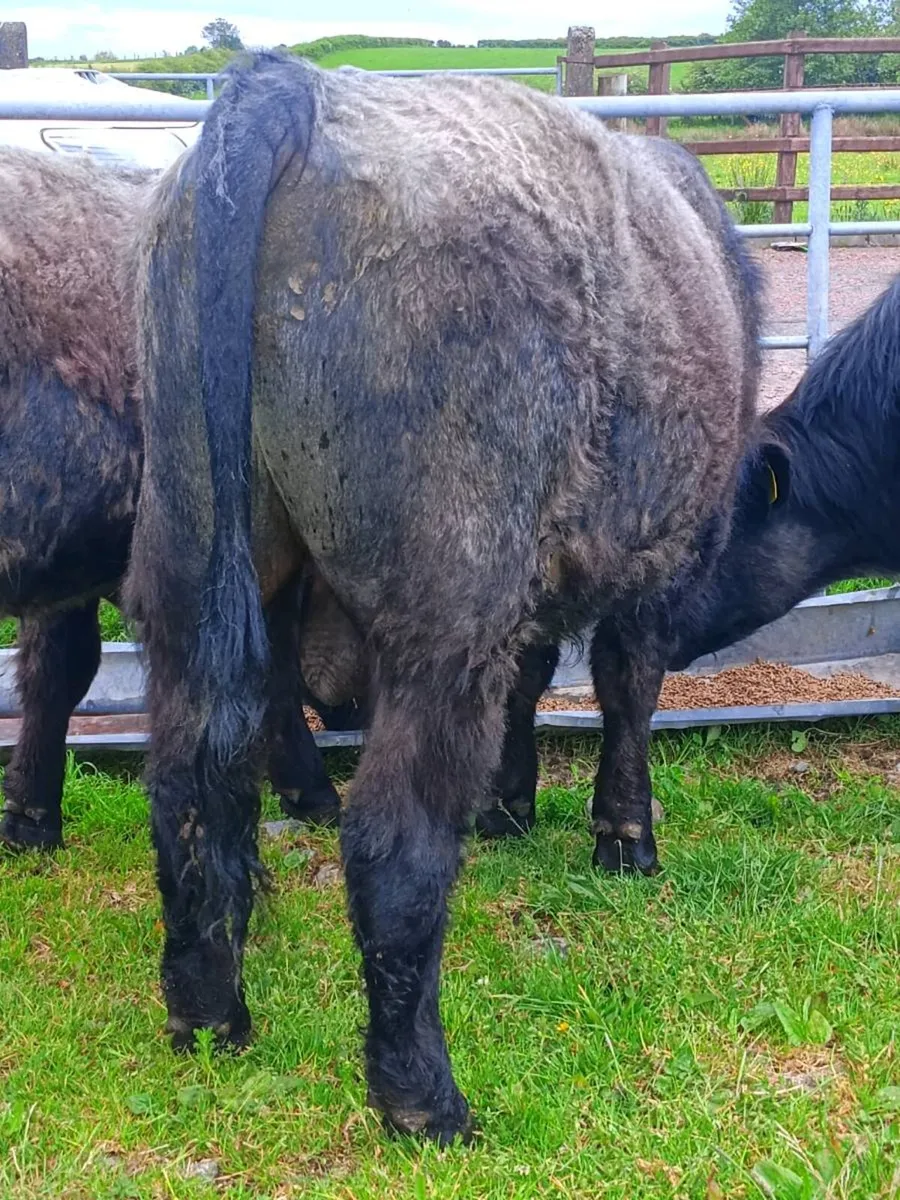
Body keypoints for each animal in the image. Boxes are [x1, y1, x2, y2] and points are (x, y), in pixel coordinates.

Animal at [124, 52, 768, 1142]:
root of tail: (299, 89)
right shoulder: (657, 560)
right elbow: (627, 688)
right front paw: (623, 837)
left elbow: (537, 674)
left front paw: (514, 802)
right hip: (447, 602)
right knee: (393, 841)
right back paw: (423, 1096)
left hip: (193, 544)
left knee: (190, 784)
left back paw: (209, 1011)